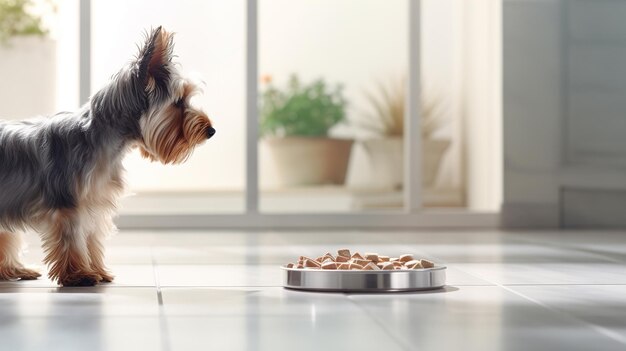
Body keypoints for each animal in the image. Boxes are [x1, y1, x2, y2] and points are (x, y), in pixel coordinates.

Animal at [0, 27, 214, 286]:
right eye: (179, 102)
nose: (211, 130)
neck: (104, 139)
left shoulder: (96, 201)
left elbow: (92, 239)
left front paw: (98, 271)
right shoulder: (69, 204)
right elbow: (72, 239)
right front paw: (78, 275)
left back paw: (16, 269)